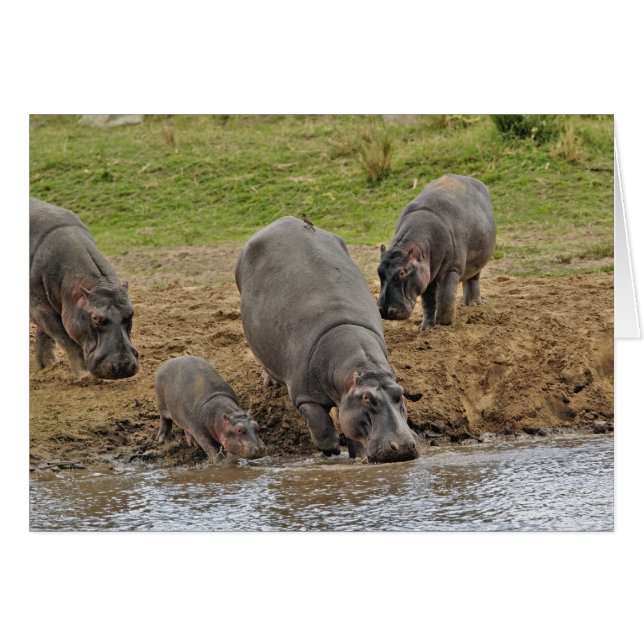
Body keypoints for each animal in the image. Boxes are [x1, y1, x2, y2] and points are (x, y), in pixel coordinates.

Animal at [29, 198, 139, 379]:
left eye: (131, 313)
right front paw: (83, 375)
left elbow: (45, 335)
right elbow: (63, 337)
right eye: (95, 317)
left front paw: (48, 366)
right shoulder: (37, 307)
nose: (123, 366)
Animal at [235, 216, 418, 463]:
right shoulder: (304, 396)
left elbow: (350, 429)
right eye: (367, 398)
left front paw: (357, 456)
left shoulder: (347, 401)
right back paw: (269, 381)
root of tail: (282, 220)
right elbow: (321, 426)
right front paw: (330, 450)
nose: (403, 447)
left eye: (400, 393)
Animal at [377, 174, 496, 329]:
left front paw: (444, 324)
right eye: (379, 271)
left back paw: (474, 304)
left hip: (478, 260)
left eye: (402, 273)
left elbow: (446, 297)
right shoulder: (425, 275)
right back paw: (467, 304)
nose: (385, 310)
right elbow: (428, 303)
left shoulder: (451, 269)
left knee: (473, 278)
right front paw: (425, 328)